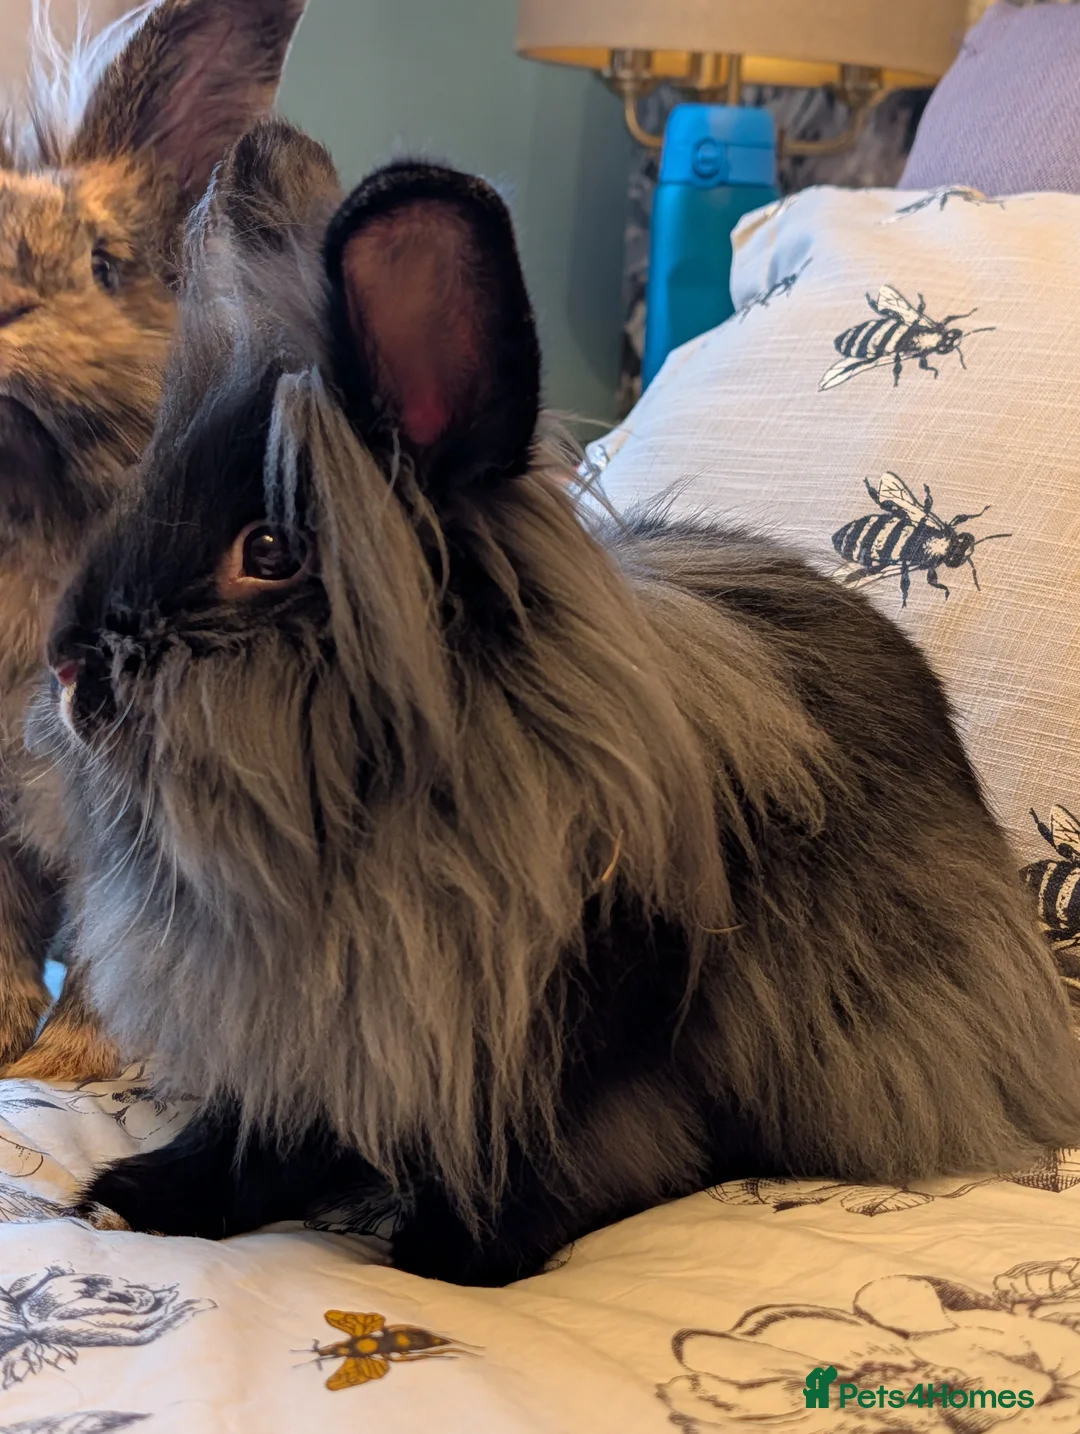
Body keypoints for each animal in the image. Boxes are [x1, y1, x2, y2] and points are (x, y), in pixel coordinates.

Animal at [42, 120, 1080, 1286]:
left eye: (267, 552)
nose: (68, 664)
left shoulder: (589, 1043)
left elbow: (553, 1149)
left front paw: (455, 1255)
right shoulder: (307, 1036)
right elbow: (253, 1134)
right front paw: (137, 1196)